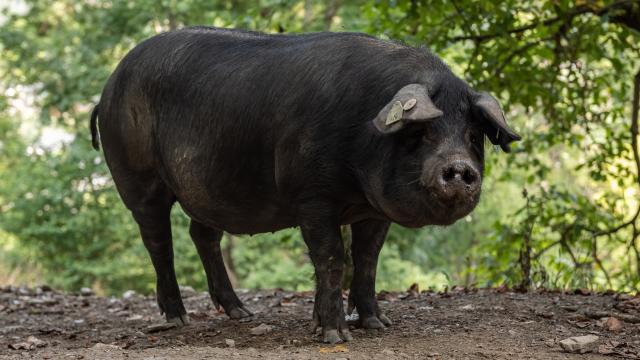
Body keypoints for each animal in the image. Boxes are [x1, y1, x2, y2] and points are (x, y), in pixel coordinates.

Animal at [90, 27, 520, 344]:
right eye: (424, 132)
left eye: (472, 136)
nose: (460, 168)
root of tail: (106, 90)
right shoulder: (312, 196)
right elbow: (331, 258)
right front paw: (334, 336)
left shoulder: (372, 210)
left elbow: (367, 259)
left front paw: (377, 325)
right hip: (137, 175)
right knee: (158, 241)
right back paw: (177, 319)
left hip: (207, 187)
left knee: (203, 235)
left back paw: (242, 313)